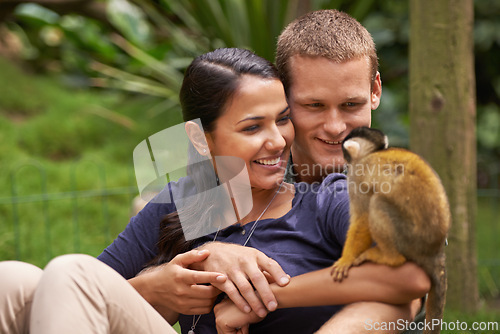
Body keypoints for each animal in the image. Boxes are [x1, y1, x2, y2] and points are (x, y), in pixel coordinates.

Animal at [330, 126, 452, 332]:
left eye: (344, 152)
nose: (343, 161)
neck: (372, 153)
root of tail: (434, 252)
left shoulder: (357, 176)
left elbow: (362, 217)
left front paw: (346, 259)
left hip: (408, 238)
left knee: (377, 203)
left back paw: (389, 258)